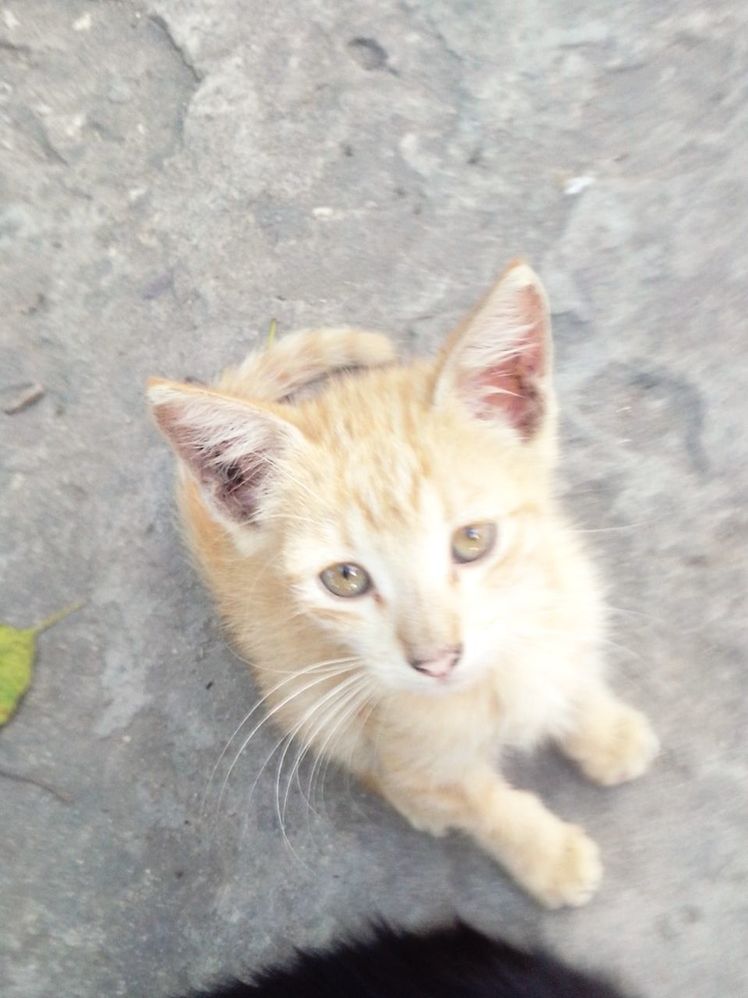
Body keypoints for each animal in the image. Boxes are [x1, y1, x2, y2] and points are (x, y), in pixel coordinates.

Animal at [148, 262, 660, 912]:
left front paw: (604, 729)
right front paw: (548, 856)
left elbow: (569, 674)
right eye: (345, 579)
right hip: (299, 689)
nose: (436, 661)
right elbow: (483, 805)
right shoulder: (410, 752)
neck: (490, 683)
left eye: (472, 540)